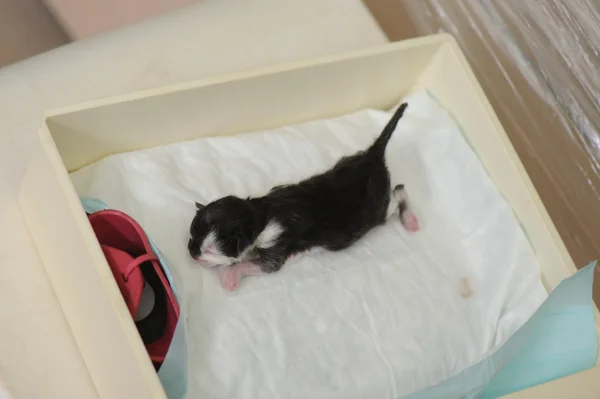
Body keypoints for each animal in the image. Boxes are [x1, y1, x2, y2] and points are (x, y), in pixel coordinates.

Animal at [188, 103, 418, 290]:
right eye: (191, 236)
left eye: (210, 250)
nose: (192, 254)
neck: (261, 214)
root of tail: (373, 156)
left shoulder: (278, 244)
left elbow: (263, 265)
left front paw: (229, 276)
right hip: (347, 162)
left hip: (377, 208)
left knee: (399, 190)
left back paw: (410, 220)